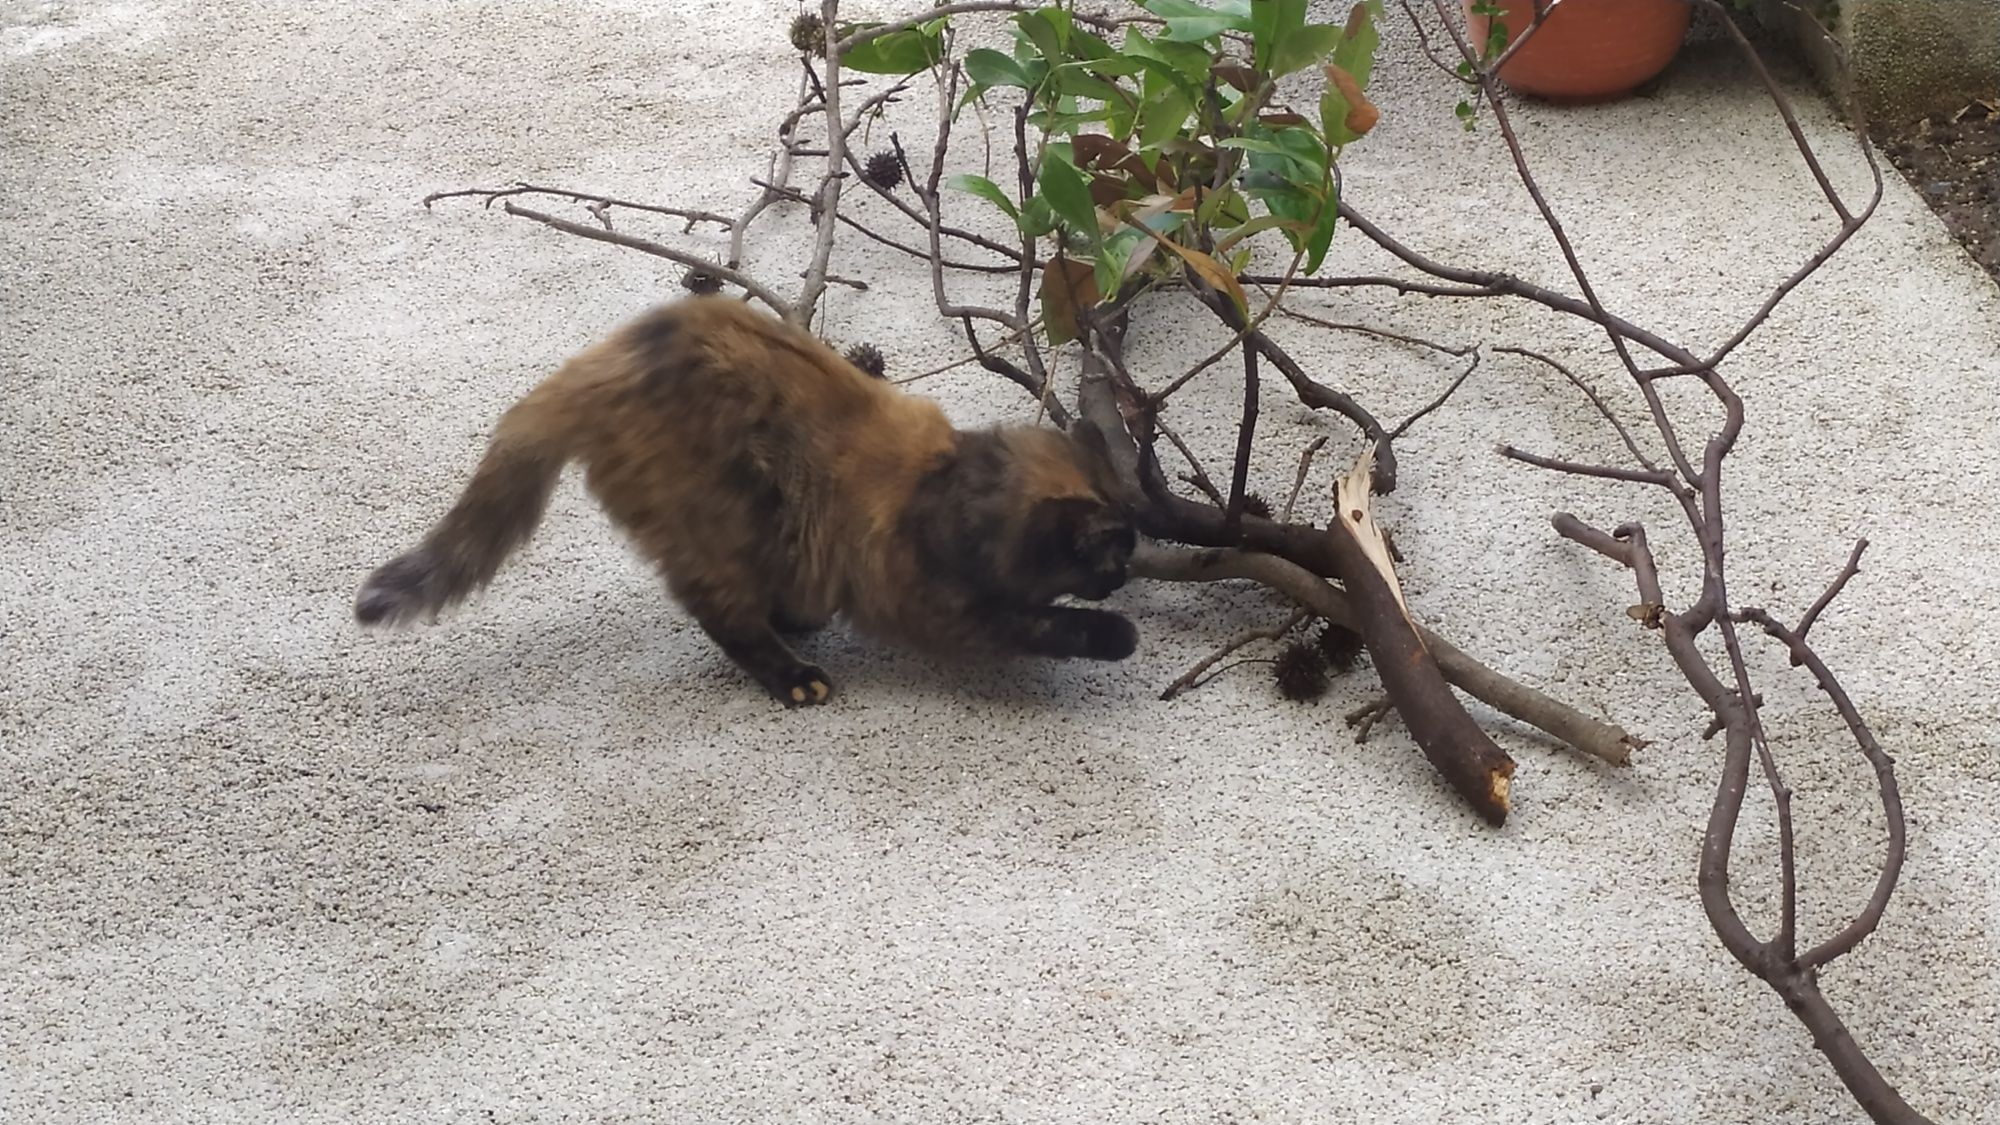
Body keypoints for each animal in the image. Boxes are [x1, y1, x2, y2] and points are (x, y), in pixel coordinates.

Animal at [356, 294, 1144, 704]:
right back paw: (796, 676)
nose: (1124, 581)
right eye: (1112, 559)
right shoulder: (938, 607)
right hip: (719, 525)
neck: (949, 486)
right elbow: (1043, 622)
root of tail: (602, 361)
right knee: (723, 614)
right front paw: (1114, 634)